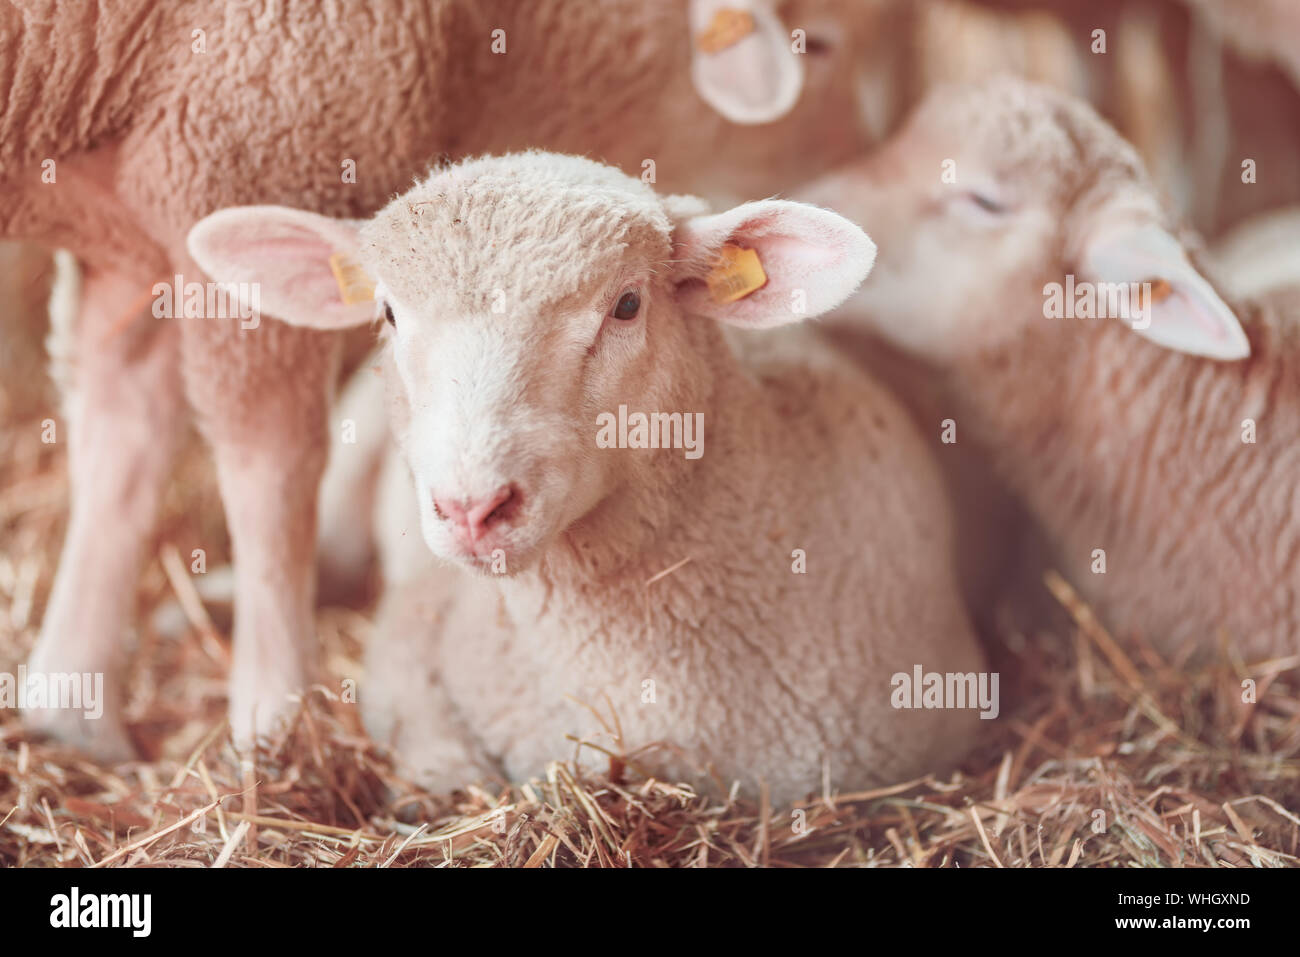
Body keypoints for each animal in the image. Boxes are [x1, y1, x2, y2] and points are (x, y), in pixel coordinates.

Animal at [1, 0, 896, 757]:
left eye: (627, 305)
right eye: (818, 45)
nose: (472, 508)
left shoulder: (134, 224)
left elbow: (122, 440)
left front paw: (70, 709)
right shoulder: (250, 146)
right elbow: (270, 472)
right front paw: (279, 721)